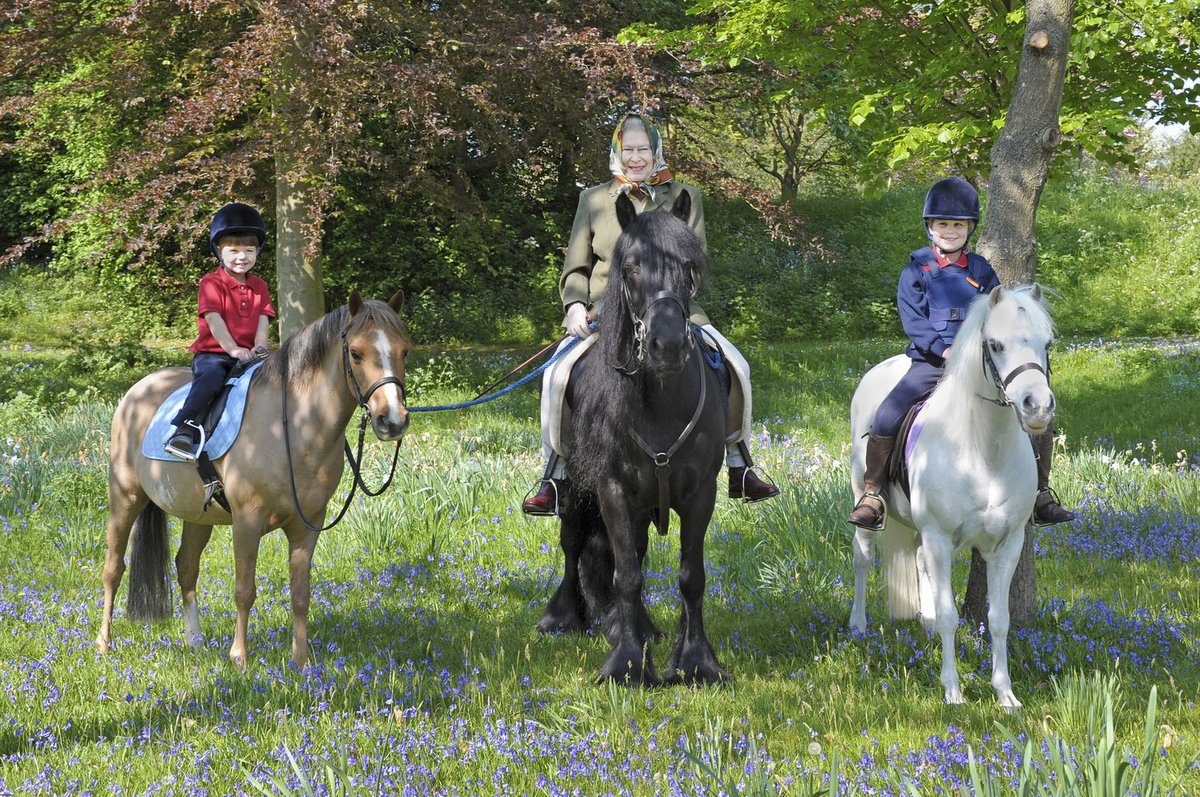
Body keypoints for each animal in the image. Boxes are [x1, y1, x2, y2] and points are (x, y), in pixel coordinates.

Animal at [94, 292, 412, 667]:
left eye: (404, 351)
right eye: (356, 353)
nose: (392, 420)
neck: (292, 425)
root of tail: (137, 391)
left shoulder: (307, 526)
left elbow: (300, 592)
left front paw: (301, 661)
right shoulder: (247, 521)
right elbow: (244, 590)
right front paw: (239, 658)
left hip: (198, 515)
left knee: (186, 566)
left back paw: (195, 640)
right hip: (125, 498)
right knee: (114, 568)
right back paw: (103, 643)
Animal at [537, 192, 724, 686]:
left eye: (689, 265)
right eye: (631, 267)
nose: (667, 345)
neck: (659, 399)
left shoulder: (701, 493)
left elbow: (690, 576)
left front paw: (696, 661)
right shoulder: (612, 490)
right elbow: (626, 576)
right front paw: (625, 664)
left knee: (633, 553)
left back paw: (638, 627)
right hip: (576, 491)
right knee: (574, 545)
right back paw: (564, 617)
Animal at [849, 283, 1056, 705]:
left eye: (1047, 343)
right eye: (995, 345)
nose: (1038, 407)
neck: (981, 449)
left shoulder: (1006, 545)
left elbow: (999, 620)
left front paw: (1005, 694)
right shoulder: (941, 538)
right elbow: (950, 616)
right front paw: (953, 691)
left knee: (918, 561)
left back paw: (924, 623)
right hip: (862, 493)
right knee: (862, 557)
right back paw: (858, 624)